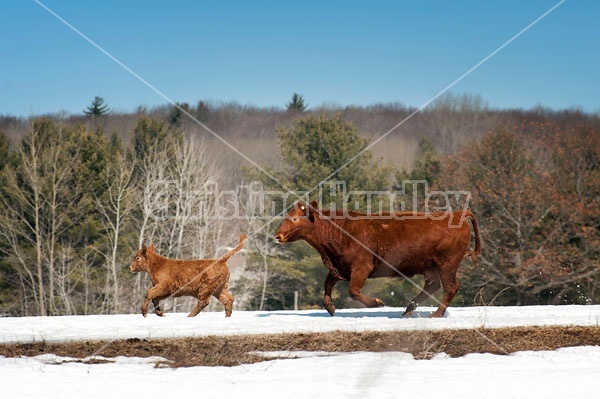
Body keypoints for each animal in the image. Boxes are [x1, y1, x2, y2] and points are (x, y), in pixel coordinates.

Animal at [274, 202, 480, 320]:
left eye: (294, 218)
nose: (277, 235)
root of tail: (456, 214)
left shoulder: (361, 267)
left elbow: (353, 291)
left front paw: (377, 303)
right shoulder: (340, 268)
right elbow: (327, 285)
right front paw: (331, 308)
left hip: (447, 264)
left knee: (450, 288)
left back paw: (436, 314)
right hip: (431, 267)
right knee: (433, 286)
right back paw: (408, 309)